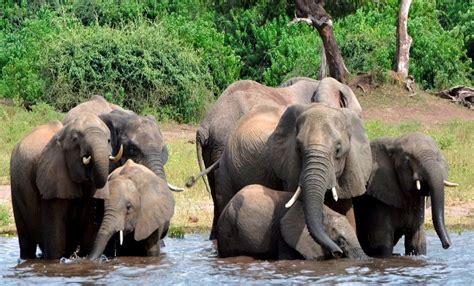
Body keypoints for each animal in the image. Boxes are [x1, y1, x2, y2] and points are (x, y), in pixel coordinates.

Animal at [9, 114, 121, 260]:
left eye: (108, 140)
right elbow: (56, 239)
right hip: (15, 186)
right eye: (75, 140)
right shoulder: (52, 177)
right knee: (26, 240)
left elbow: (89, 232)